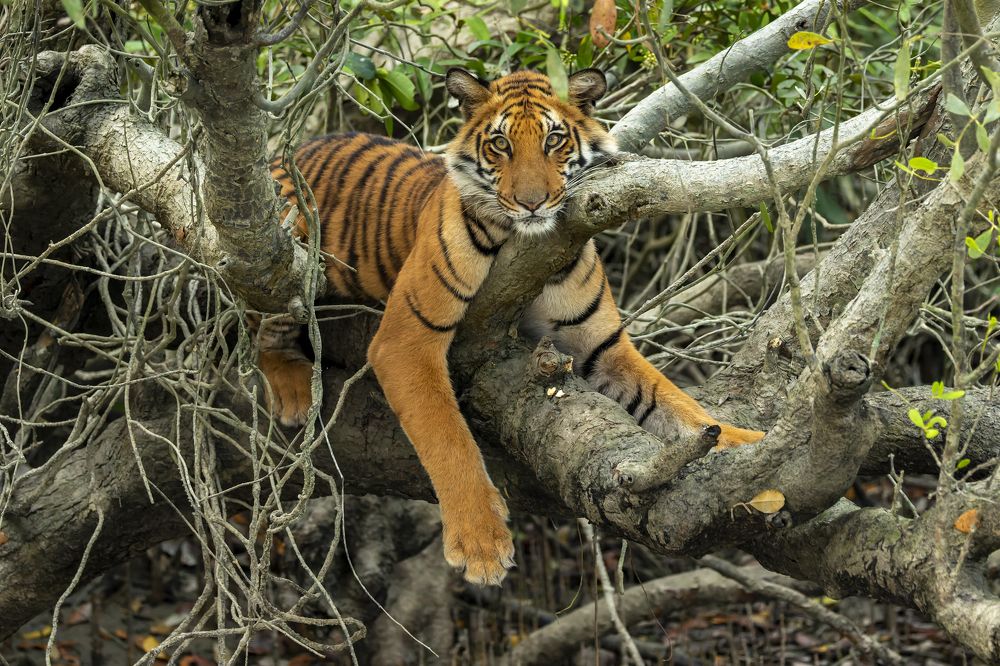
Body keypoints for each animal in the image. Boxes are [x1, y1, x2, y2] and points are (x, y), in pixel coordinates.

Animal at [260, 68, 764, 586]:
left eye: (554, 140)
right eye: (500, 144)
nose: (532, 203)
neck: (532, 253)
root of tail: (288, 152)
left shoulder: (602, 349)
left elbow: (676, 403)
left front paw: (746, 449)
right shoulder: (407, 339)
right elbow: (448, 438)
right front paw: (480, 543)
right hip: (289, 249)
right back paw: (294, 389)